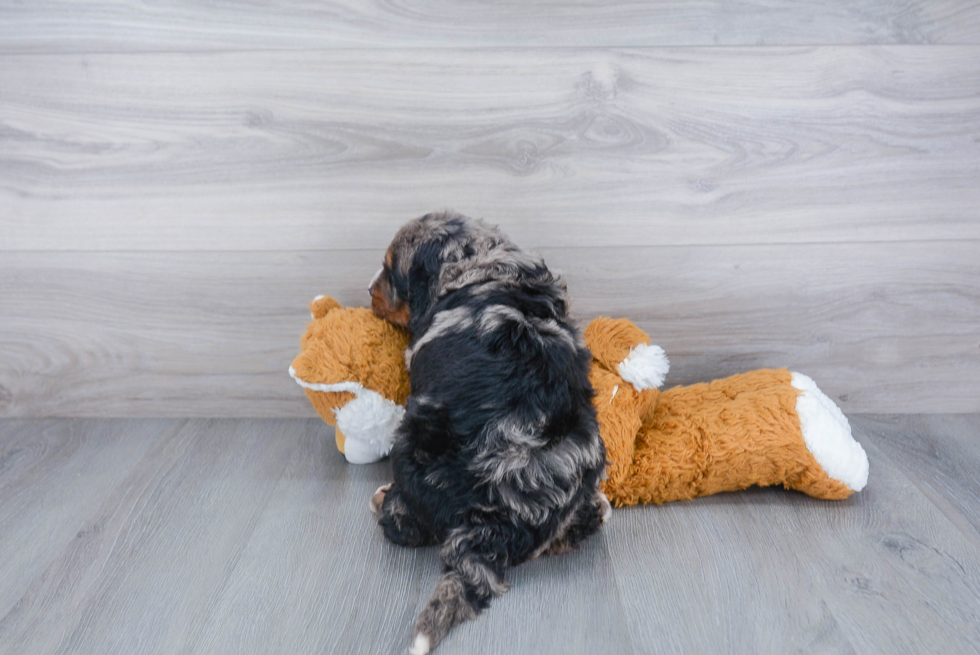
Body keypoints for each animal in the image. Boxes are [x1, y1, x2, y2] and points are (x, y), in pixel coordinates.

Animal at [370, 213, 608, 652]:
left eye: (391, 272)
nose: (367, 291)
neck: (480, 265)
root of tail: (497, 516)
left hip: (413, 440)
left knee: (408, 524)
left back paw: (384, 501)